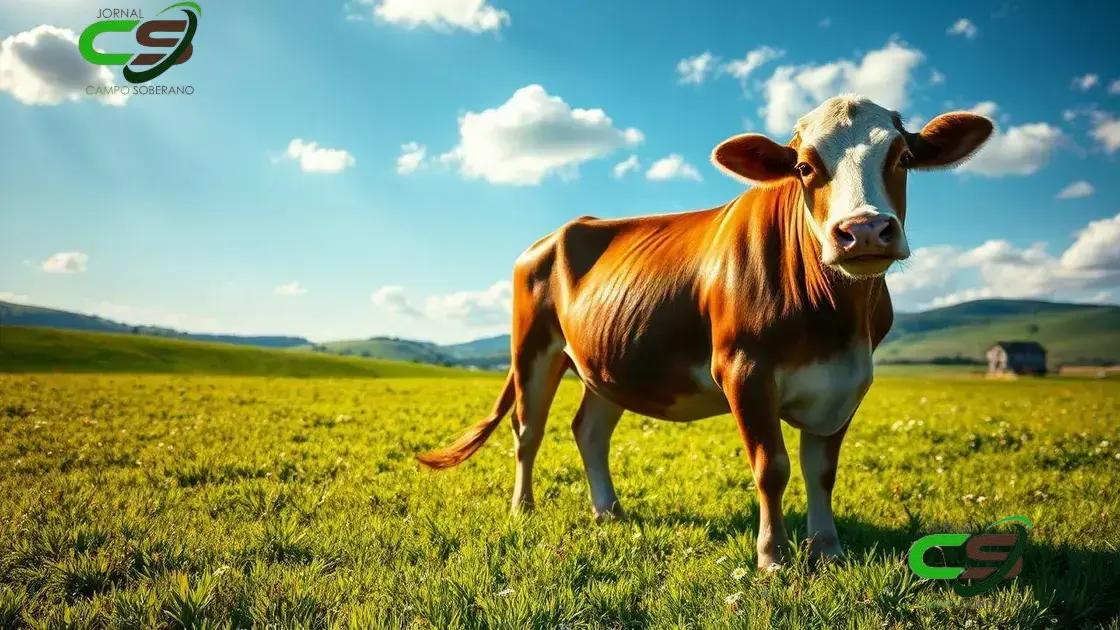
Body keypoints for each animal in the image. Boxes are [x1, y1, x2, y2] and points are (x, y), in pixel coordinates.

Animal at [418, 94, 993, 569]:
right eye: (804, 167)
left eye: (902, 158)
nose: (865, 230)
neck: (836, 321)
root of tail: (560, 230)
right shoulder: (744, 371)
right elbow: (772, 467)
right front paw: (773, 556)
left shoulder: (848, 381)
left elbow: (821, 470)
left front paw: (827, 549)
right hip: (533, 349)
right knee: (528, 432)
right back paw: (524, 508)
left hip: (606, 361)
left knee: (589, 429)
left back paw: (608, 511)